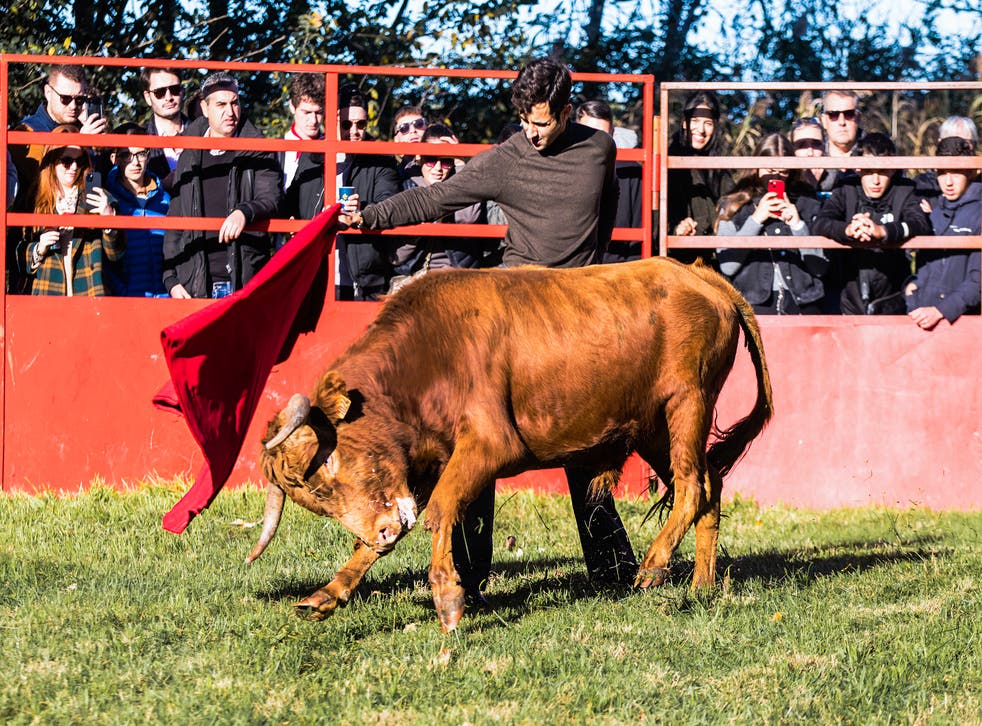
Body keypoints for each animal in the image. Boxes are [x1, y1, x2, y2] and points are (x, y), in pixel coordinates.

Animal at [247, 257, 773, 632]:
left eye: (327, 467)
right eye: (314, 496)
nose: (382, 530)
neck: (426, 356)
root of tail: (697, 274)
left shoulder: (489, 445)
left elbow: (442, 510)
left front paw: (448, 598)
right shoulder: (427, 464)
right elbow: (399, 529)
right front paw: (328, 594)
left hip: (687, 401)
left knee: (691, 485)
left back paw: (655, 566)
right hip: (653, 428)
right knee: (708, 485)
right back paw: (702, 585)